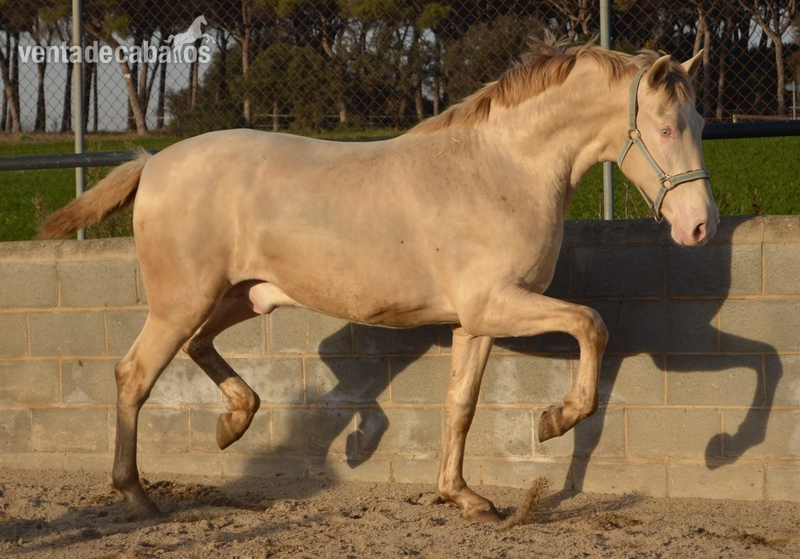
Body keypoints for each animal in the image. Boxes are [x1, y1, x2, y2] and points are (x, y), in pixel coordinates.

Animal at [40, 41, 718, 523]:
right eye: (665, 128)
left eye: (702, 124)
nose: (699, 226)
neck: (499, 169)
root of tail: (154, 162)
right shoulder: (497, 304)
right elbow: (592, 324)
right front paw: (554, 420)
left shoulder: (477, 322)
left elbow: (461, 406)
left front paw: (463, 497)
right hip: (183, 301)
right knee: (135, 375)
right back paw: (139, 497)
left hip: (242, 297)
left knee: (198, 347)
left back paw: (235, 421)